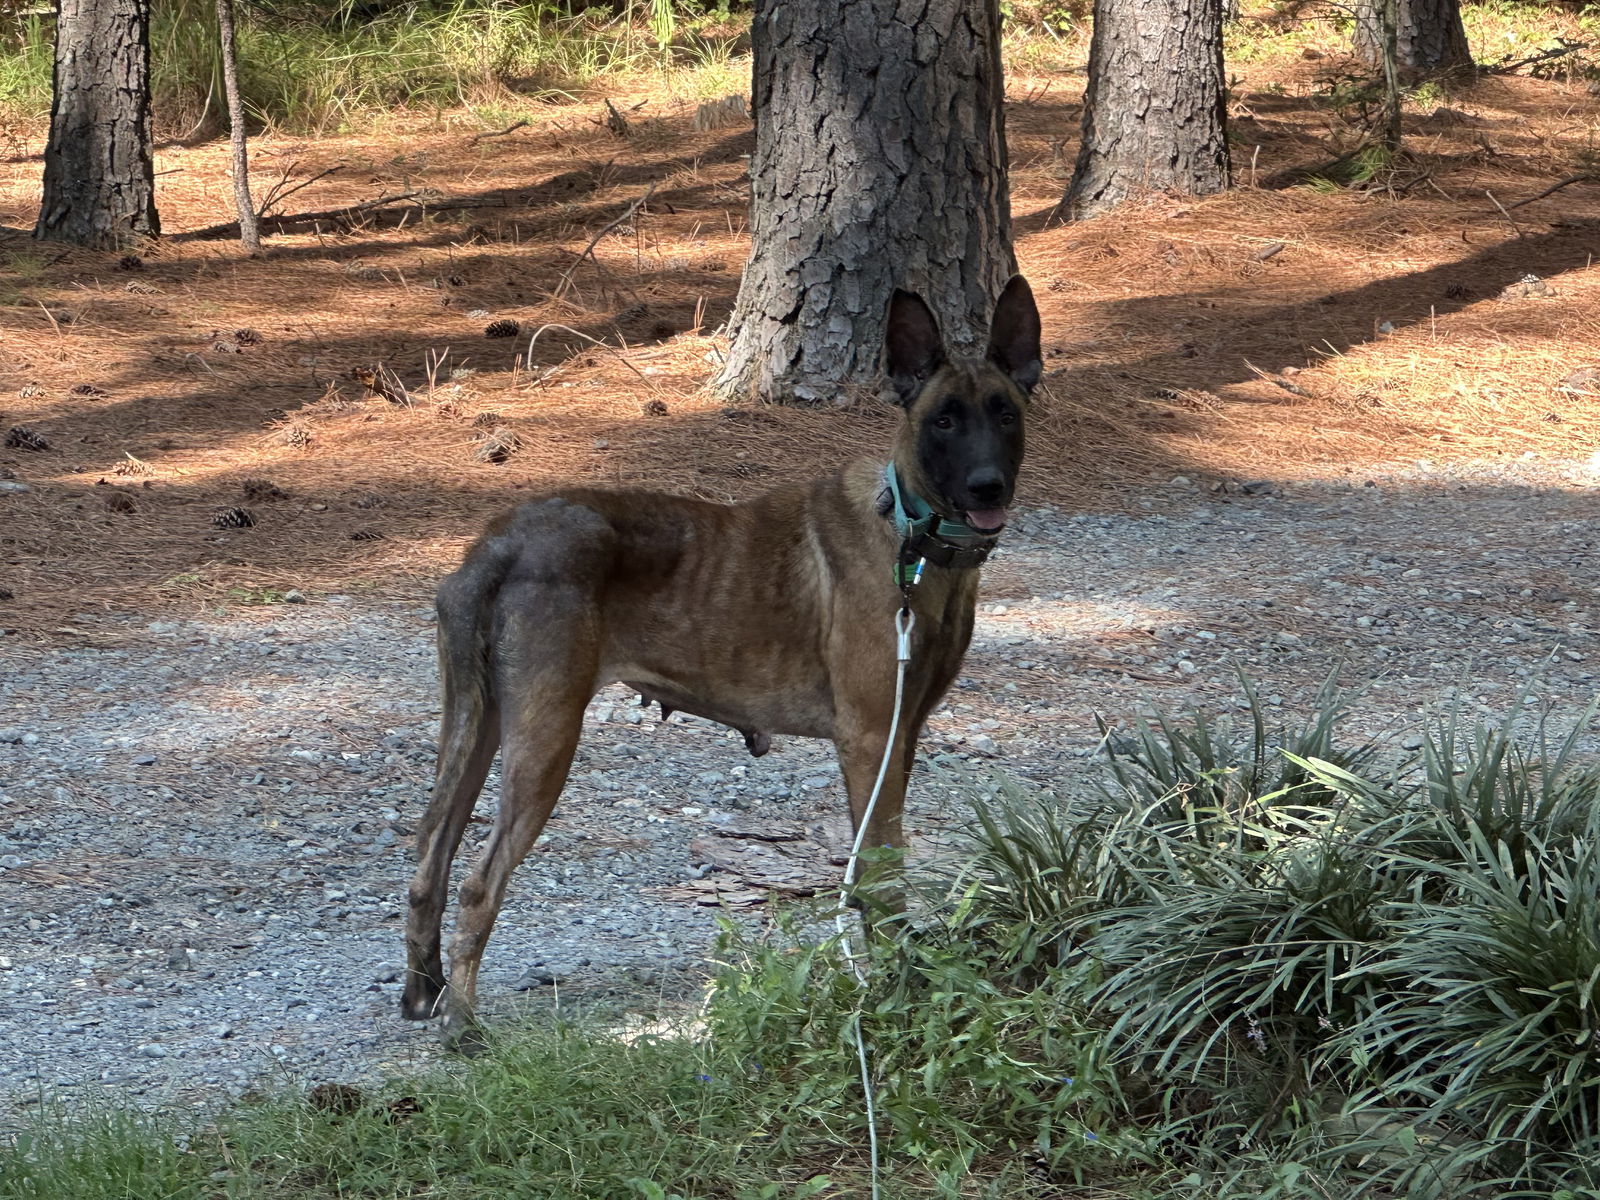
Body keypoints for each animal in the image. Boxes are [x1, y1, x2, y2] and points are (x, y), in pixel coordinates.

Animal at [406, 272, 1043, 1043]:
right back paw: (463, 1026)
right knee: (477, 881)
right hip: (544, 740)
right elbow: (881, 871)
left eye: (1004, 414)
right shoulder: (871, 740)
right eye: (943, 420)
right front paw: (895, 987)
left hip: (479, 726)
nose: (987, 486)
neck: (911, 540)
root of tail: (499, 541)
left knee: (429, 859)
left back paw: (425, 991)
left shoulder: (902, 735)